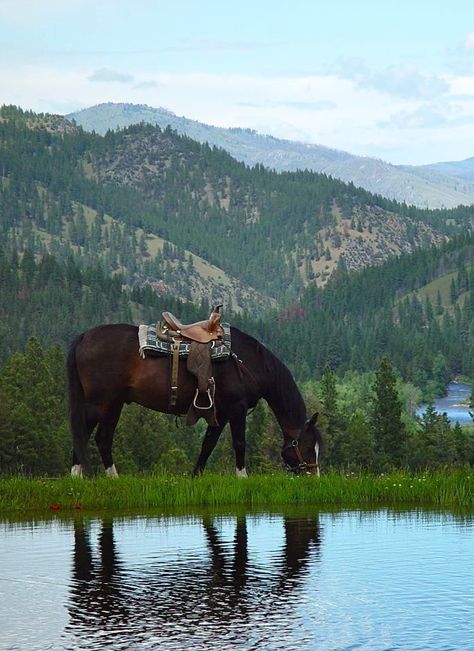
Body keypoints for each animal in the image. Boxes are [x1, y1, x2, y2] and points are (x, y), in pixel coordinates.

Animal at [66, 324, 322, 476]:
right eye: (309, 446)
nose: (314, 475)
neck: (248, 362)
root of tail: (83, 337)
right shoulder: (237, 410)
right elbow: (240, 444)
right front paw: (242, 477)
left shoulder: (221, 413)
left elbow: (207, 445)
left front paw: (195, 476)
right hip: (99, 403)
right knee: (83, 433)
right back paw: (80, 477)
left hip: (114, 404)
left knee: (102, 439)